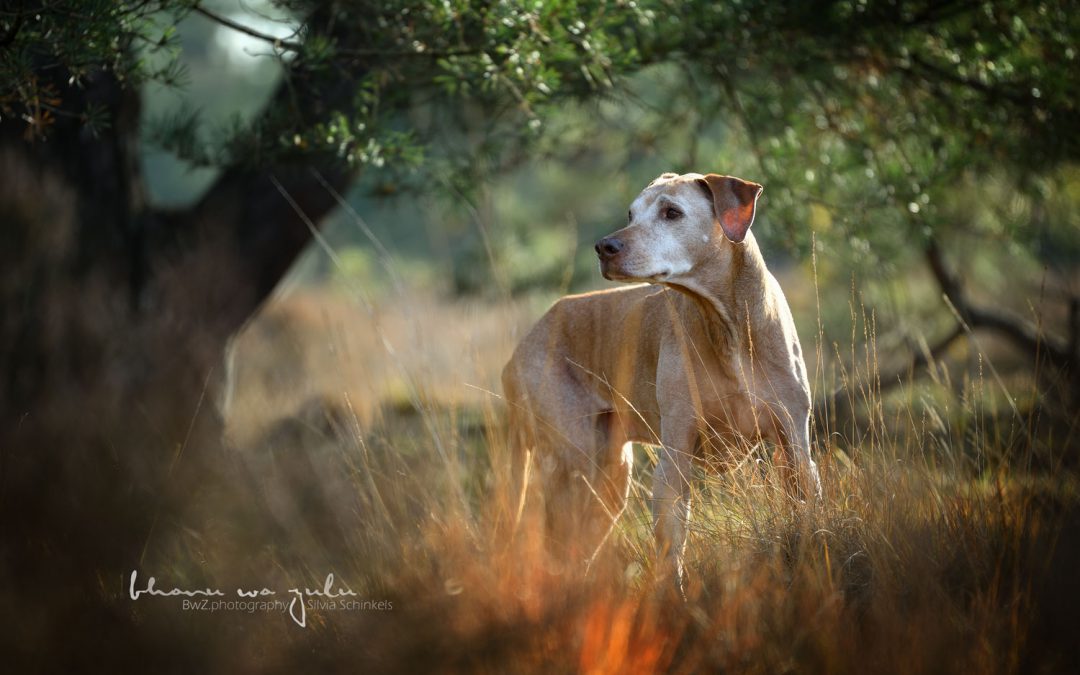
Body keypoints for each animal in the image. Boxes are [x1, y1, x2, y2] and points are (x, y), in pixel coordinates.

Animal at [501, 170, 820, 587]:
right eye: (631, 214)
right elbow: (671, 553)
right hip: (576, 464)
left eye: (672, 212)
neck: (727, 327)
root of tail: (519, 350)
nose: (604, 247)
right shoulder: (676, 456)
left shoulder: (795, 446)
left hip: (608, 480)